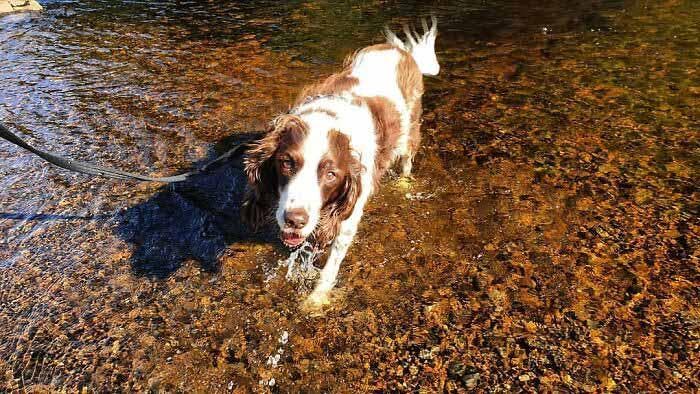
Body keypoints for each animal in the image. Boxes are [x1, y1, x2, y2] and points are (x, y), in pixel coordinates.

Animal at [241, 17, 438, 308]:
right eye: (286, 163)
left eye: (331, 174)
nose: (294, 220)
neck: (329, 119)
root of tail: (402, 52)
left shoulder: (348, 216)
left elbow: (330, 266)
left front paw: (316, 299)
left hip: (409, 132)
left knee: (406, 161)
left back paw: (404, 184)